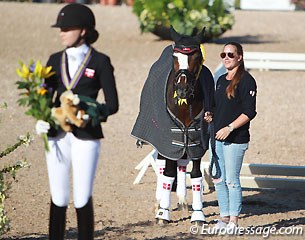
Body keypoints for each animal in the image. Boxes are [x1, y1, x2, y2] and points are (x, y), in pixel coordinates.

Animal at [131, 25, 214, 225]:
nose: (182, 89)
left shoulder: (195, 141)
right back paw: (159, 201)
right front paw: (163, 213)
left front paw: (198, 214)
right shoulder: (168, 139)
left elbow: (196, 175)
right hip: (162, 140)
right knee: (163, 166)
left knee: (182, 163)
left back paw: (183, 199)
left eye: (197, 56)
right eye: (175, 57)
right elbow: (168, 173)